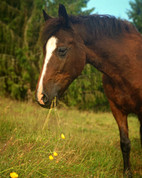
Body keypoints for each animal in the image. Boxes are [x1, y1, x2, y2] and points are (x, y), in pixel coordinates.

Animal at [35, 4, 142, 177]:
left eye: (62, 50)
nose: (40, 96)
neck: (131, 67)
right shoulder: (117, 109)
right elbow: (125, 143)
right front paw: (127, 173)